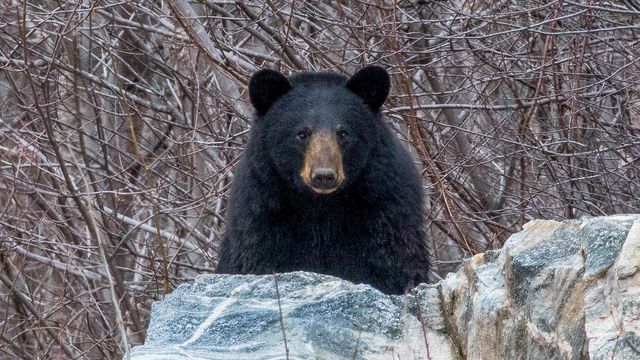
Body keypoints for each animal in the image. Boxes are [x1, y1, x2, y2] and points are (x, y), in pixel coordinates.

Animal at [216, 66, 430, 294]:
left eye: (343, 133)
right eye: (302, 133)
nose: (324, 175)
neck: (320, 206)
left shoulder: (384, 213)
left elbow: (392, 266)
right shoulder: (263, 217)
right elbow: (257, 260)